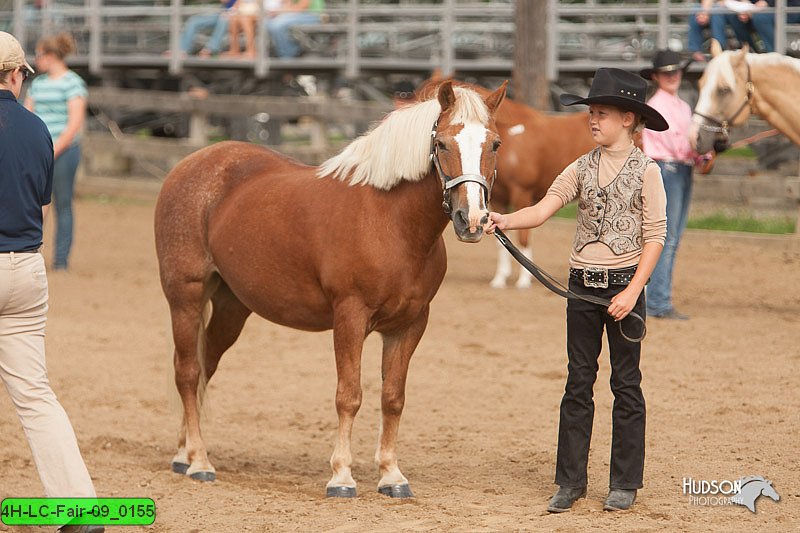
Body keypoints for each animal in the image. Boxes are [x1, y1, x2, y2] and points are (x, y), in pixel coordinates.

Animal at [155, 81, 506, 496]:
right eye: (442, 144)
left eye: (495, 144)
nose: (473, 220)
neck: (389, 221)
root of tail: (190, 164)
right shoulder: (350, 316)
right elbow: (349, 395)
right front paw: (341, 477)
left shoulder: (410, 324)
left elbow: (393, 397)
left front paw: (392, 475)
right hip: (185, 295)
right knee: (188, 372)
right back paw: (199, 461)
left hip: (231, 306)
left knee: (204, 366)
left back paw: (184, 454)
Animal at [412, 78, 592, 286]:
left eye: (495, 145)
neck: (515, 137)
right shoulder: (498, 199)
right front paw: (500, 279)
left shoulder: (523, 194)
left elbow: (523, 236)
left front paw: (524, 281)